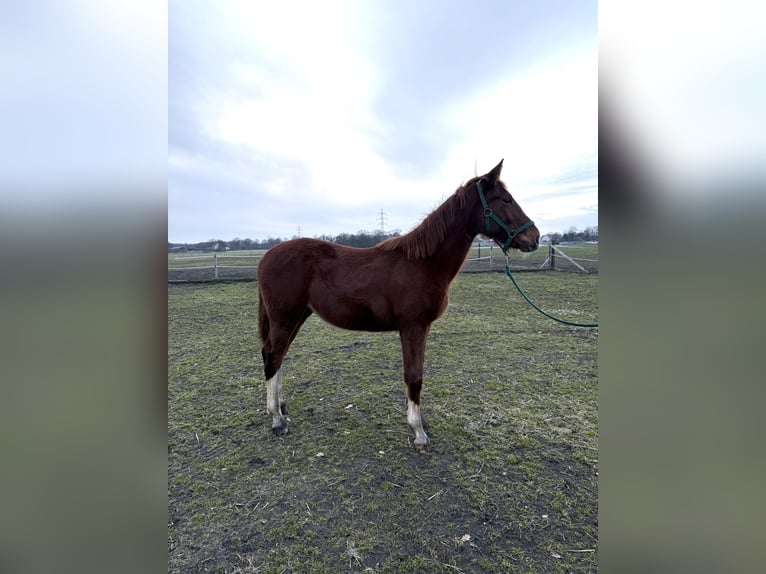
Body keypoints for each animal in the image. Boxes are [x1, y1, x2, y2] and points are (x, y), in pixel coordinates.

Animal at [257, 160, 539, 450]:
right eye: (505, 199)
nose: (535, 237)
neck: (424, 262)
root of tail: (267, 256)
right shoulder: (413, 327)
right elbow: (414, 376)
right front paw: (418, 432)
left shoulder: (421, 328)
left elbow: (416, 374)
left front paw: (419, 422)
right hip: (284, 318)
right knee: (272, 356)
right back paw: (277, 419)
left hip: (298, 316)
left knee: (278, 356)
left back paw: (281, 406)